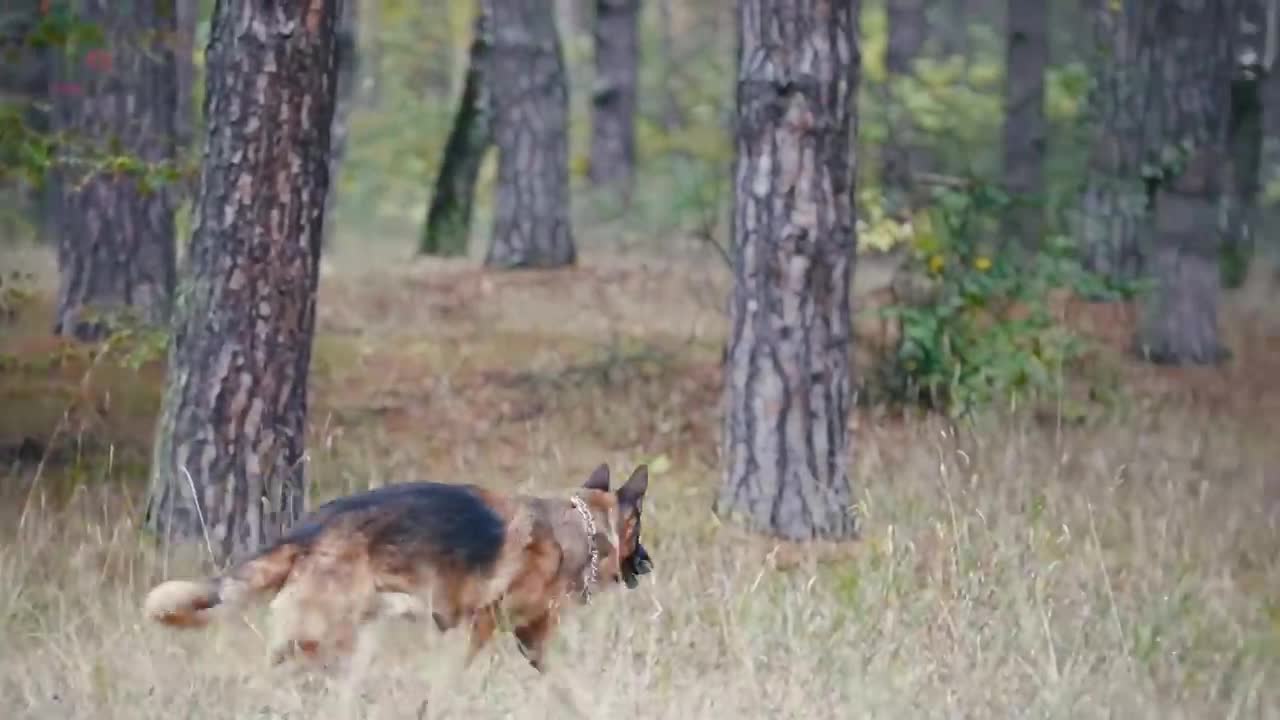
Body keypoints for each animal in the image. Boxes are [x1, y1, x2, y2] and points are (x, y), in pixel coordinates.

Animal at [145, 461, 655, 681]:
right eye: (638, 531)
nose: (648, 563)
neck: (578, 529)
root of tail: (310, 527)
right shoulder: (484, 627)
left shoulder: (532, 638)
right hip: (326, 638)